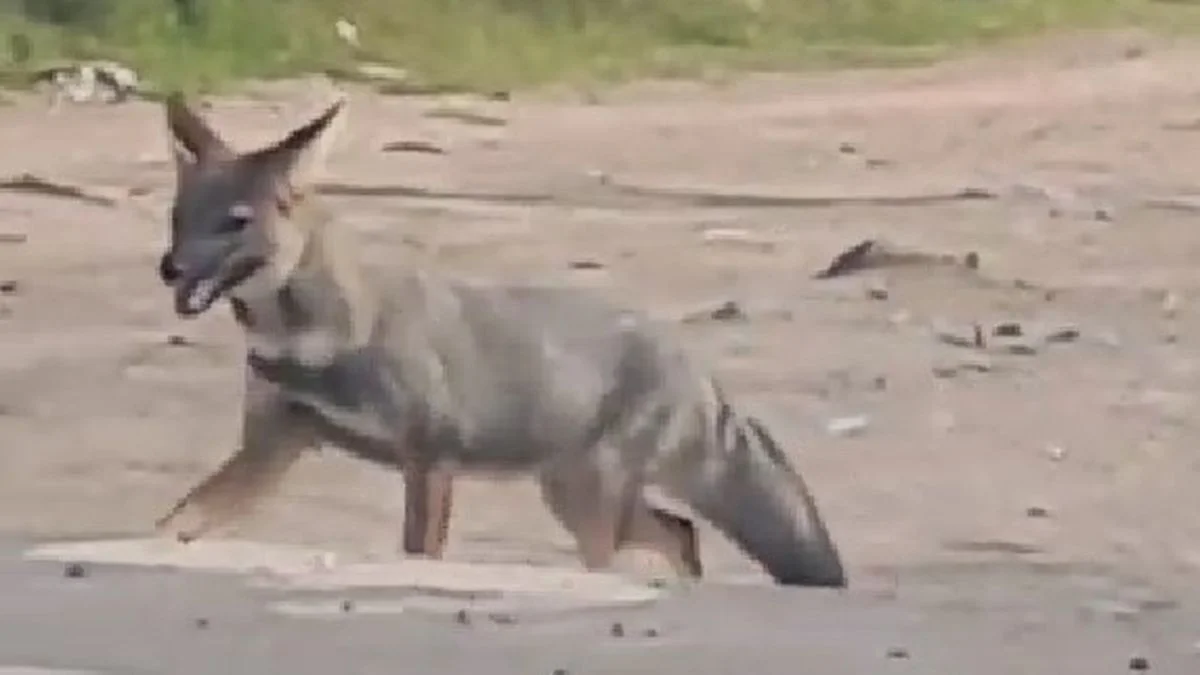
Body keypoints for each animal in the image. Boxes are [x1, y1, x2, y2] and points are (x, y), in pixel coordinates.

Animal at [151, 91, 848, 588]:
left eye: (235, 223)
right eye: (178, 219)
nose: (169, 269)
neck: (312, 342)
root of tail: (694, 364)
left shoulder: (430, 453)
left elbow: (420, 552)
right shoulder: (277, 443)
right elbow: (172, 523)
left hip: (586, 503)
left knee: (640, 550)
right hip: (571, 493)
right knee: (680, 532)